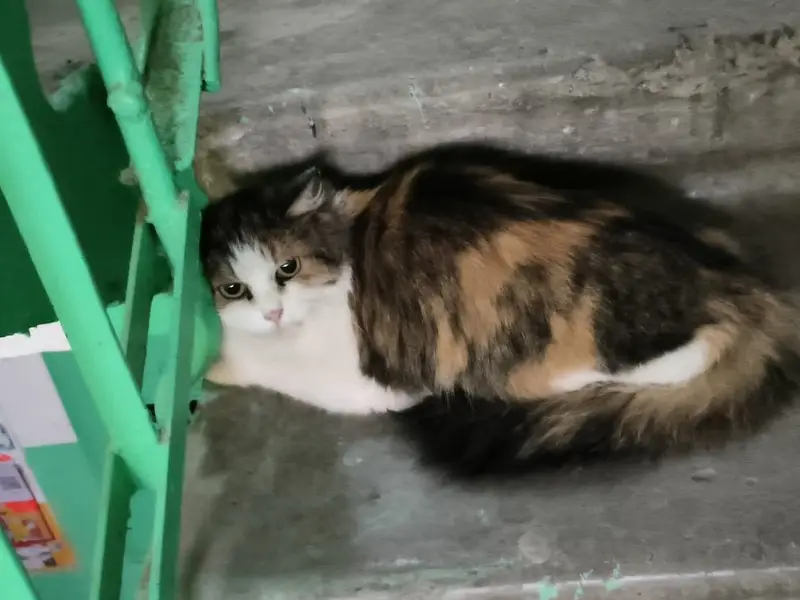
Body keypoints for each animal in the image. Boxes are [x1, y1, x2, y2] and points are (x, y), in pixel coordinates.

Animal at [199, 142, 800, 475]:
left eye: (288, 268)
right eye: (232, 289)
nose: (272, 314)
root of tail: (745, 285)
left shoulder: (365, 381)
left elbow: (263, 367)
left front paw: (208, 368)